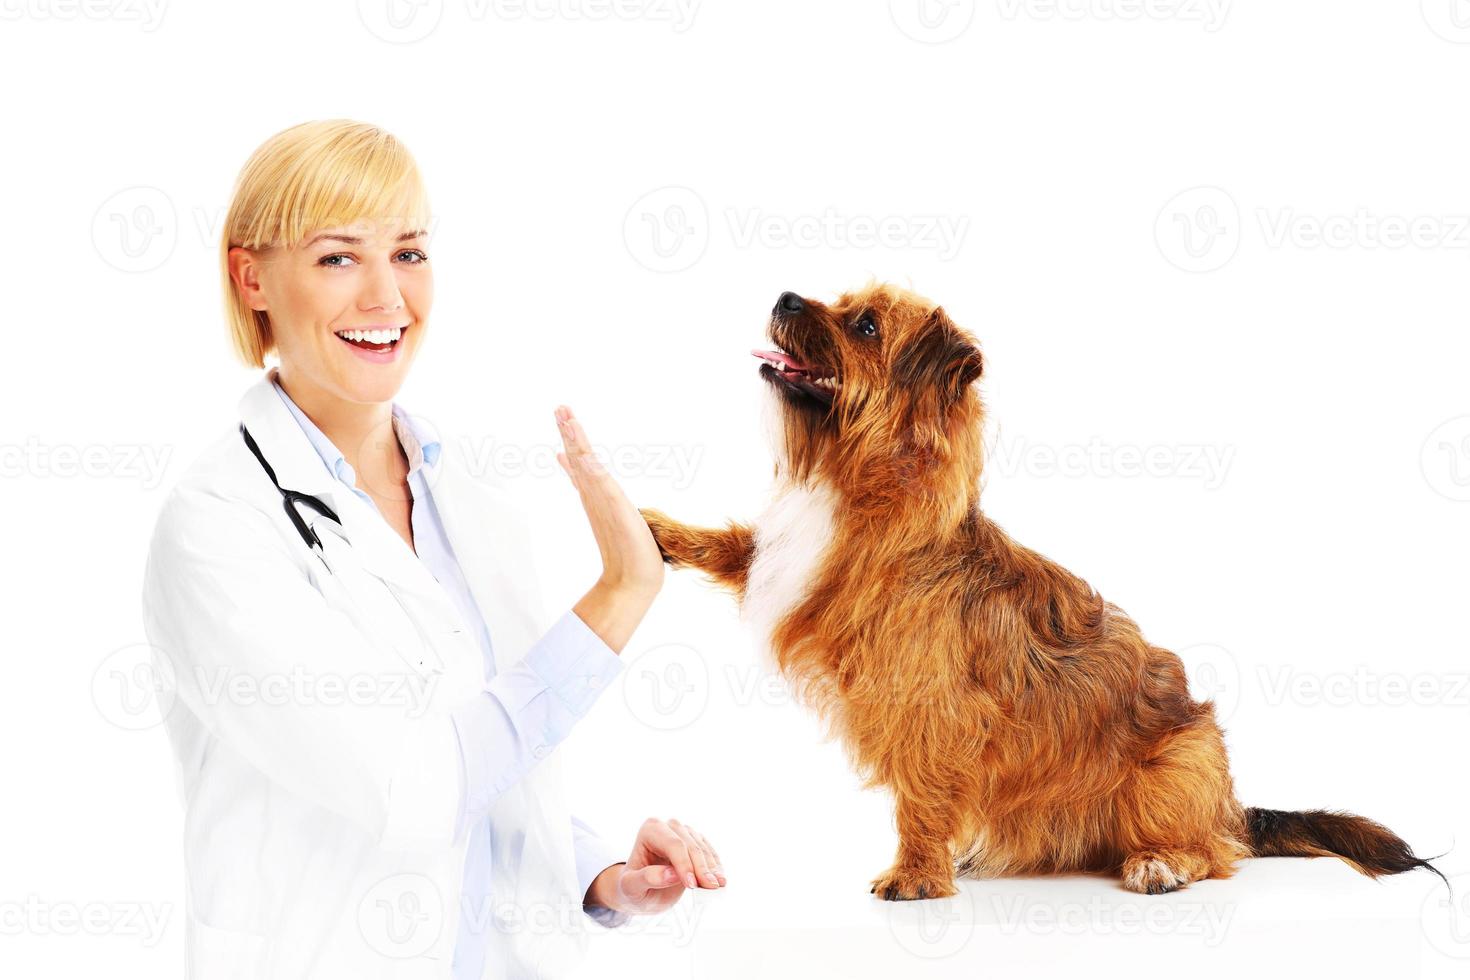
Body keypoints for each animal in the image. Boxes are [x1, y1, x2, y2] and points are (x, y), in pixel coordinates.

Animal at [640, 282, 1434, 899]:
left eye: (864, 325)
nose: (783, 296)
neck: (866, 489)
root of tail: (1234, 804)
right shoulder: (791, 568)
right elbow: (739, 547)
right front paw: (658, 530)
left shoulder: (930, 703)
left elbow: (920, 788)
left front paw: (916, 874)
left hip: (1175, 767)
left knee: (1217, 851)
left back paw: (1161, 863)